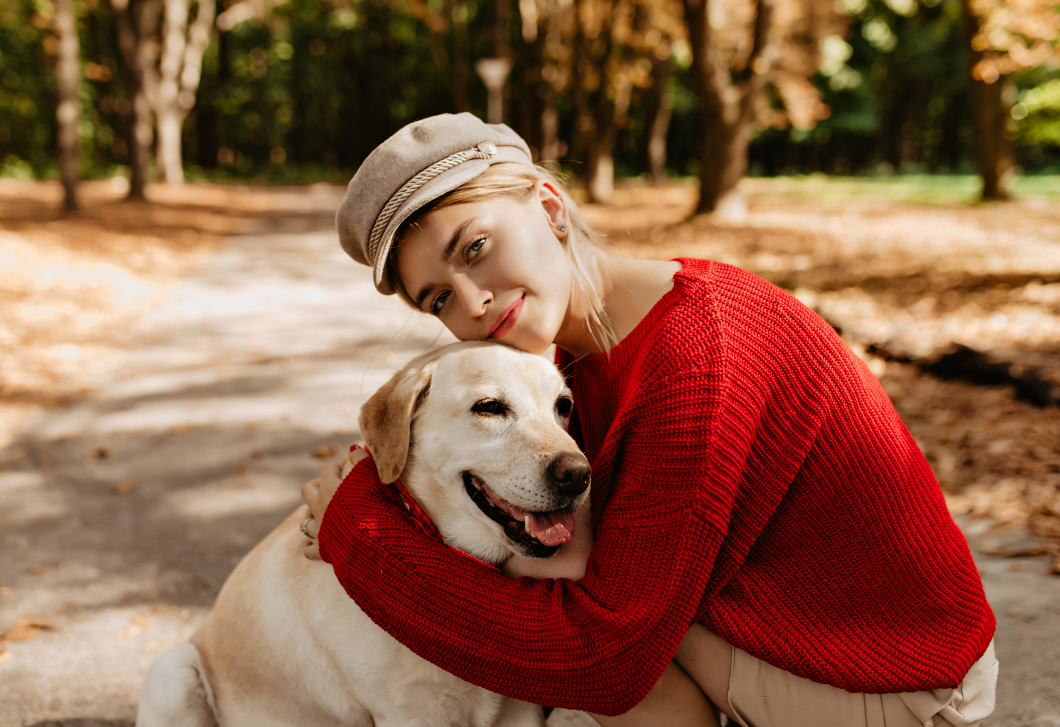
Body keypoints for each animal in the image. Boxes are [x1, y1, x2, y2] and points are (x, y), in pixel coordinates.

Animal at [134, 343, 589, 727]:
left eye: (563, 406)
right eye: (490, 407)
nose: (579, 476)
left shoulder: (518, 710)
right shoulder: (409, 715)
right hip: (173, 672)